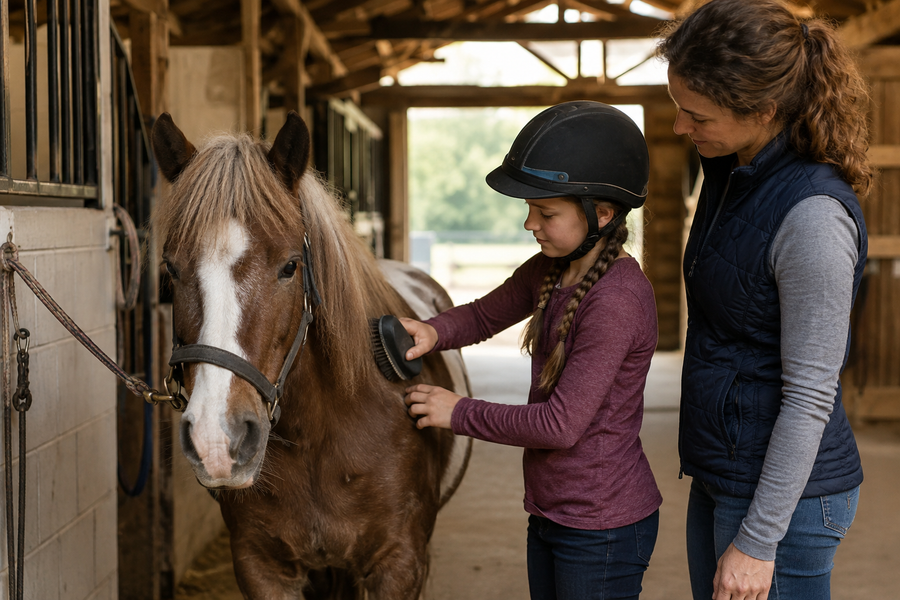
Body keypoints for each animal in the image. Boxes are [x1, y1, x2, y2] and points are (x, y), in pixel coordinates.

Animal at [150, 111, 471, 599]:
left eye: (290, 266)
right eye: (171, 268)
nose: (217, 440)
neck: (318, 437)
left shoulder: (399, 565)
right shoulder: (261, 566)